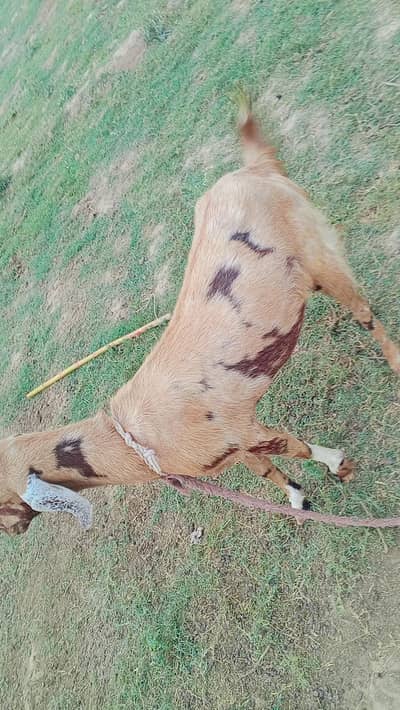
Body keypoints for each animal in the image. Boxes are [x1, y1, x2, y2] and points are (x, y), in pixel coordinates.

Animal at [1, 96, 399, 535]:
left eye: (1, 498)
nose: (11, 530)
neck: (137, 442)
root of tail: (254, 170)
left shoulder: (241, 429)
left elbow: (296, 446)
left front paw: (339, 465)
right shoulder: (233, 446)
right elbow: (266, 470)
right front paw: (298, 501)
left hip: (319, 253)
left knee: (365, 313)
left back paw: (395, 361)